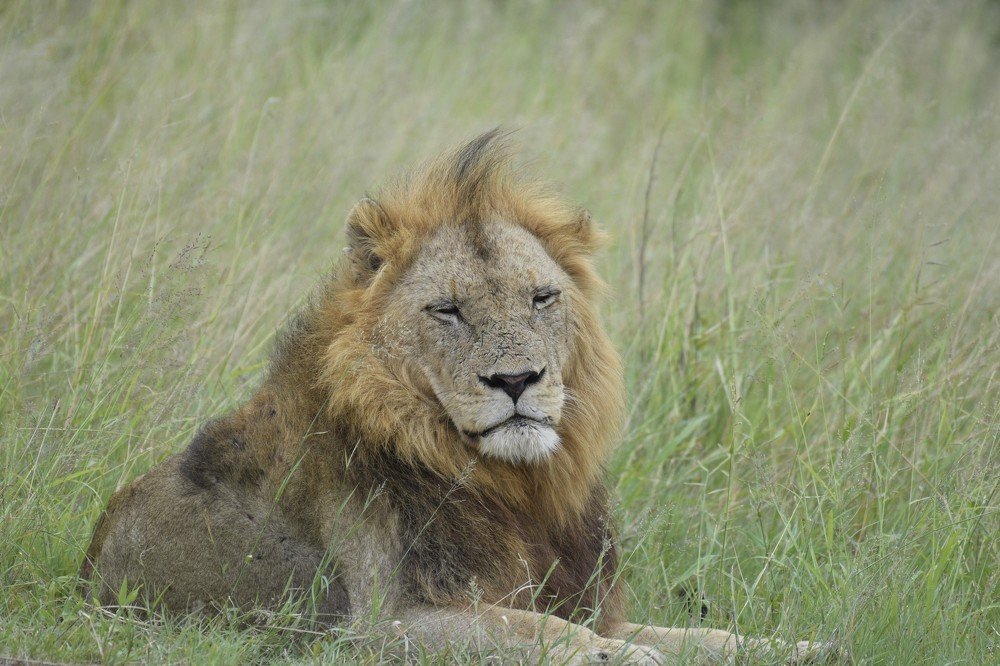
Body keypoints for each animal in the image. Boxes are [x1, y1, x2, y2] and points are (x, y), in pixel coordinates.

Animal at [80, 130, 830, 664]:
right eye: (448, 311)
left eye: (541, 298)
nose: (517, 381)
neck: (520, 492)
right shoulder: (385, 624)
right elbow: (538, 630)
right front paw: (621, 657)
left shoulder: (595, 602)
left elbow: (706, 637)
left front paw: (801, 645)